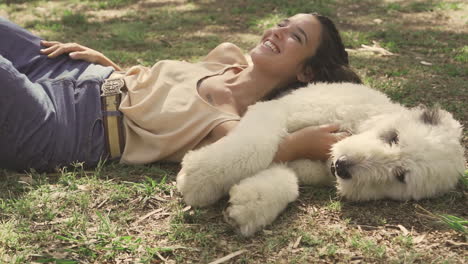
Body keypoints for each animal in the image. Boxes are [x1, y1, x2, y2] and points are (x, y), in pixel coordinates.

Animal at [176, 82, 464, 235]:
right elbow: (257, 144)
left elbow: (286, 176)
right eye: (393, 137)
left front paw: (248, 206)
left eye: (400, 176)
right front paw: (199, 178)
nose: (344, 166)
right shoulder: (275, 109)